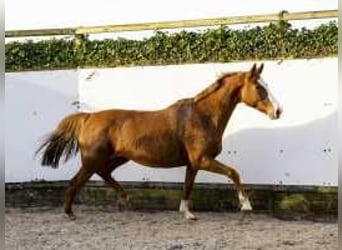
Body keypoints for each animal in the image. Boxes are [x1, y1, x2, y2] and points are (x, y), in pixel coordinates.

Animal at [34, 63, 282, 220]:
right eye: (259, 87)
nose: (278, 111)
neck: (202, 116)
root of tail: (88, 116)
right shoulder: (202, 160)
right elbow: (233, 172)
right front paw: (246, 205)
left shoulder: (193, 164)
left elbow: (188, 186)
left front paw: (187, 213)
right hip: (91, 160)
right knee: (76, 181)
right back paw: (70, 213)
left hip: (118, 157)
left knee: (104, 173)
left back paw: (125, 199)